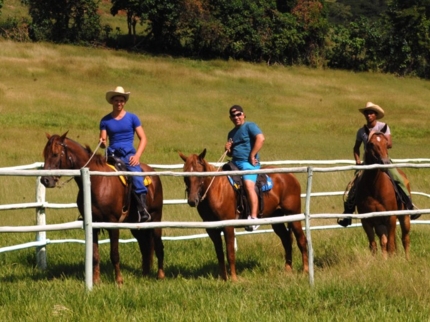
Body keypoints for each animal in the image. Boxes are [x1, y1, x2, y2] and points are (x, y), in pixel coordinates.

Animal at [40, 132, 165, 286]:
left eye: (55, 154)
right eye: (45, 154)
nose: (45, 180)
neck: (97, 181)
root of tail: (153, 174)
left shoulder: (113, 224)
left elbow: (114, 254)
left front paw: (119, 280)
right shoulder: (93, 225)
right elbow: (94, 255)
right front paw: (96, 280)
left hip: (156, 218)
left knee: (158, 245)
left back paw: (160, 274)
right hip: (136, 225)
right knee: (145, 246)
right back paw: (145, 274)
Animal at [179, 150, 310, 280]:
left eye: (200, 174)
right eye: (185, 175)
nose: (192, 201)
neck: (217, 190)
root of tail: (290, 176)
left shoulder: (228, 227)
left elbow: (230, 253)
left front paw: (234, 279)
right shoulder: (212, 230)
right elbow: (219, 254)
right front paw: (223, 278)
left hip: (294, 215)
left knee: (301, 240)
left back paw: (305, 270)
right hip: (276, 219)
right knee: (286, 240)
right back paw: (288, 269)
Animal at [354, 126, 412, 260]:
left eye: (386, 143)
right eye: (371, 144)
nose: (385, 163)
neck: (374, 187)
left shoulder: (391, 218)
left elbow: (391, 245)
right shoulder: (367, 221)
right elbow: (374, 245)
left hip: (404, 218)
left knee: (405, 239)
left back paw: (407, 259)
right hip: (380, 224)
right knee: (383, 241)